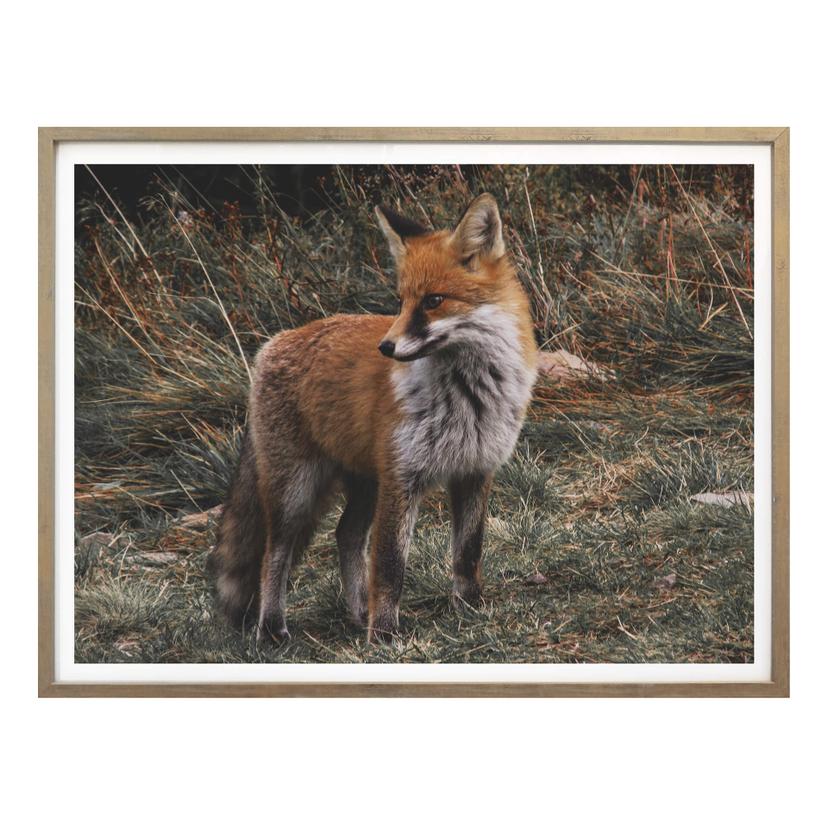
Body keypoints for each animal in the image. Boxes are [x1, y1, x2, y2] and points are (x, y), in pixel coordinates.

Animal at [208, 193, 538, 643]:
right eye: (400, 301)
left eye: (433, 301)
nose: (386, 347)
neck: (468, 396)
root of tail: (274, 343)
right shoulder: (402, 478)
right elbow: (389, 564)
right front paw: (383, 634)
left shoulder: (475, 469)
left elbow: (468, 551)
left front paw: (470, 607)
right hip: (296, 491)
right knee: (273, 554)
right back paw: (273, 628)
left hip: (365, 483)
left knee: (345, 535)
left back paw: (357, 612)